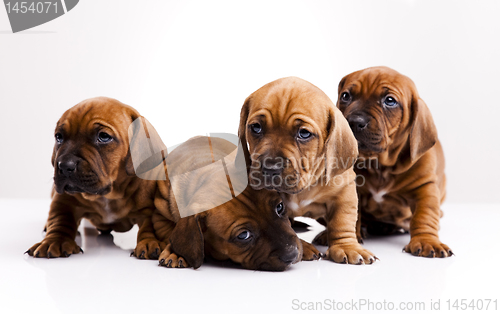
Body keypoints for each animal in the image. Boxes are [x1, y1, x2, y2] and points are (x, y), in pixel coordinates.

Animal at [25, 97, 162, 258]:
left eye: (104, 137)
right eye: (59, 137)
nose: (64, 165)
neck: (109, 195)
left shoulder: (149, 208)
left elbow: (151, 226)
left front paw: (149, 242)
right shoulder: (63, 201)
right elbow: (60, 220)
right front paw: (55, 241)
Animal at [237, 77, 376, 264]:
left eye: (304, 133)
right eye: (256, 127)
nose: (270, 167)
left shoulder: (344, 193)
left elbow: (342, 221)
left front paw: (347, 247)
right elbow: (285, 226)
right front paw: (304, 247)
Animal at [338, 66, 452, 258]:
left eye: (390, 101)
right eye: (346, 96)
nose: (353, 122)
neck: (379, 166)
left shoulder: (425, 188)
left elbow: (425, 216)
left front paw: (427, 240)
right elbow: (353, 213)